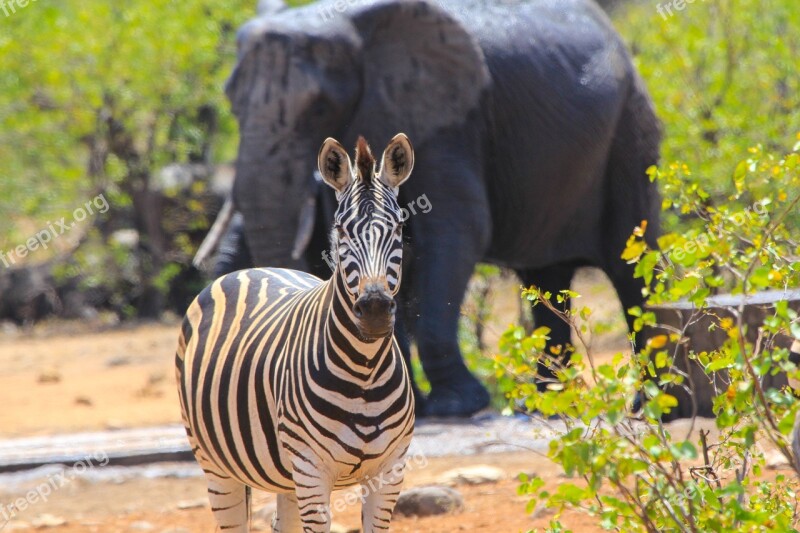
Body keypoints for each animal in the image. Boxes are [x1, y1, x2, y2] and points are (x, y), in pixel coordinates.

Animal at [177, 134, 418, 532]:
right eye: (341, 230)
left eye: (398, 229)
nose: (374, 310)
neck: (365, 371)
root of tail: (252, 268)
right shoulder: (311, 469)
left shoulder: (389, 471)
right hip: (215, 464)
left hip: (285, 477)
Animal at [208, 0, 664, 418]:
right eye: (231, 104)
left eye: (319, 107)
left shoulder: (448, 124)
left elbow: (457, 231)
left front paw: (454, 406)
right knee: (546, 279)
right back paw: (546, 406)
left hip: (631, 131)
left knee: (630, 266)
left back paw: (650, 407)